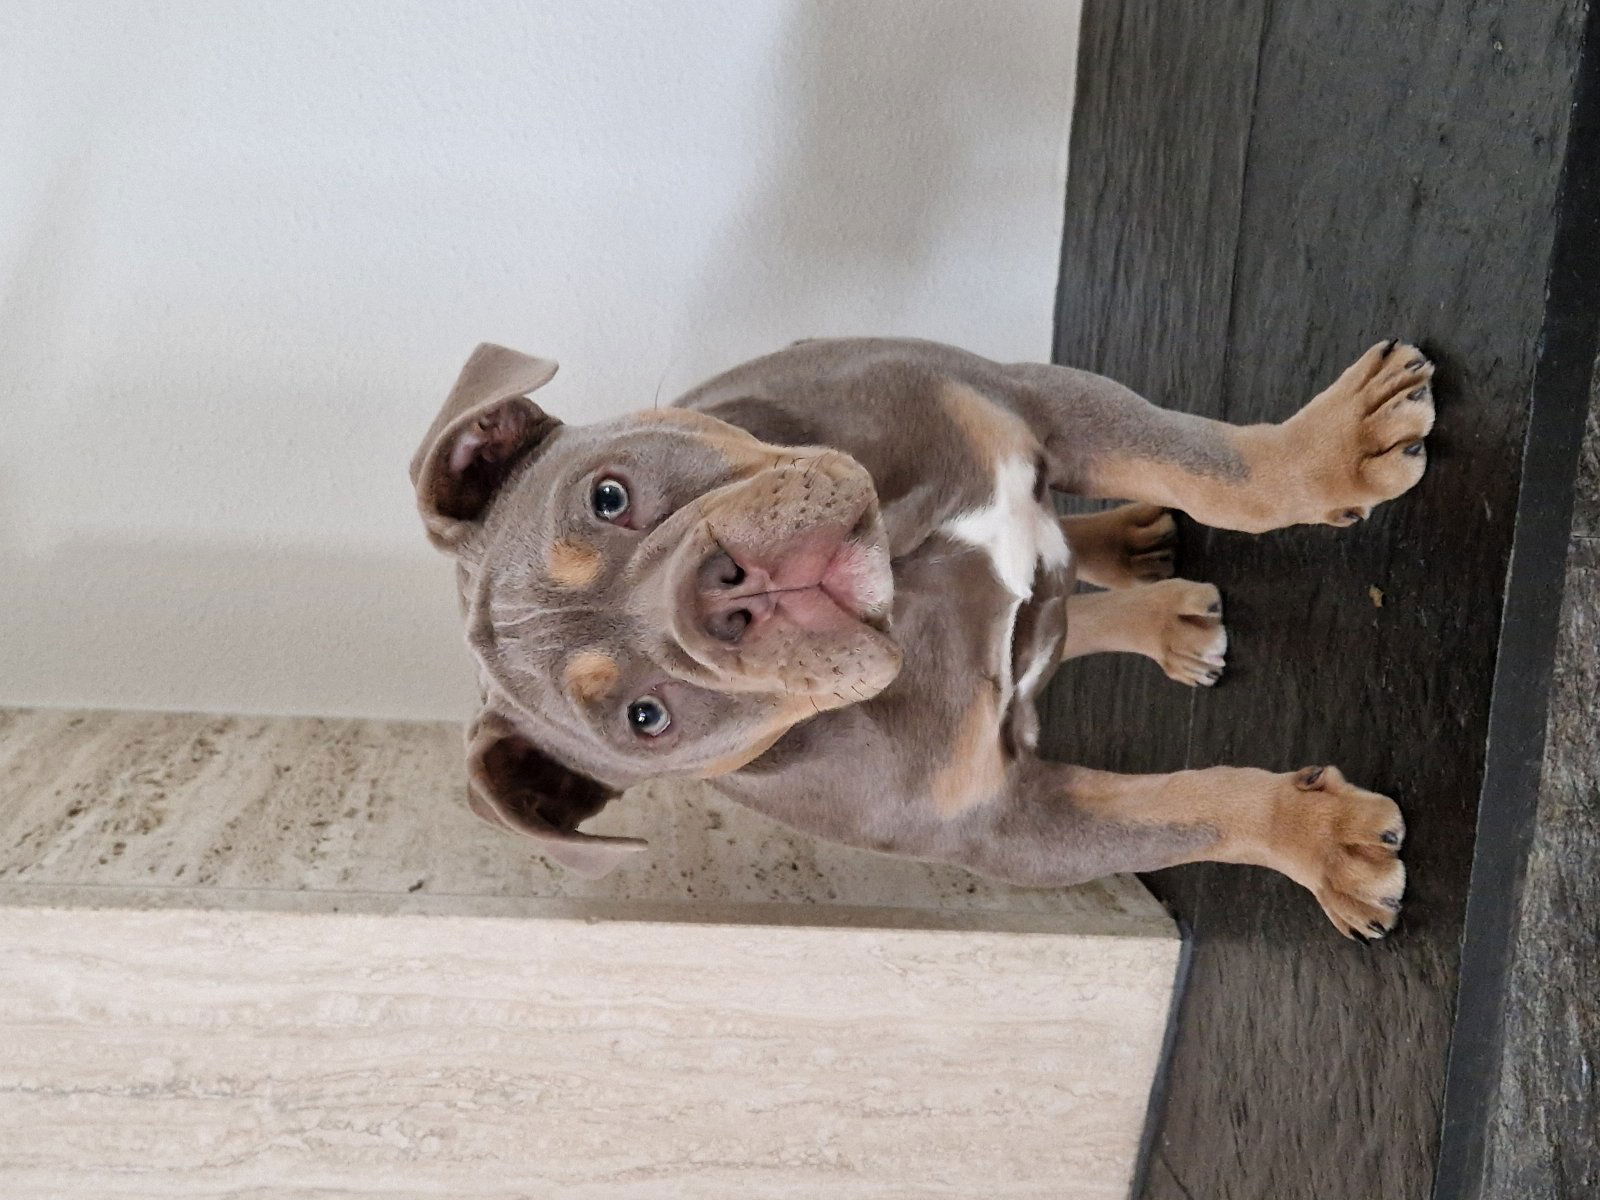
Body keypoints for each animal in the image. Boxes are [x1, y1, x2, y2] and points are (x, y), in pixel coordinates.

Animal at [410, 337, 1431, 938]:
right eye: (646, 719)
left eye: (609, 495)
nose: (720, 593)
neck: (908, 575)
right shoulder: (1014, 825)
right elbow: (1184, 814)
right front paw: (1321, 840)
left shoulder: (1027, 398)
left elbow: (1212, 466)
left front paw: (1332, 452)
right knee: (1055, 619)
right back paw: (1157, 608)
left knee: (1066, 588)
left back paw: (1140, 569)